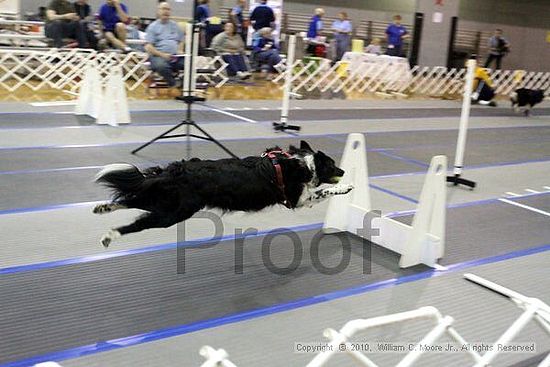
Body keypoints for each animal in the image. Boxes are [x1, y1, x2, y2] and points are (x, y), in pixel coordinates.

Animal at [94, 141, 354, 247]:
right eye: (332, 165)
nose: (344, 170)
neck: (301, 163)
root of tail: (176, 171)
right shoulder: (297, 200)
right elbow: (325, 190)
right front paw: (346, 187)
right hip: (174, 213)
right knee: (136, 222)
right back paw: (109, 235)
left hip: (167, 203)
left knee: (131, 200)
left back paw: (103, 208)